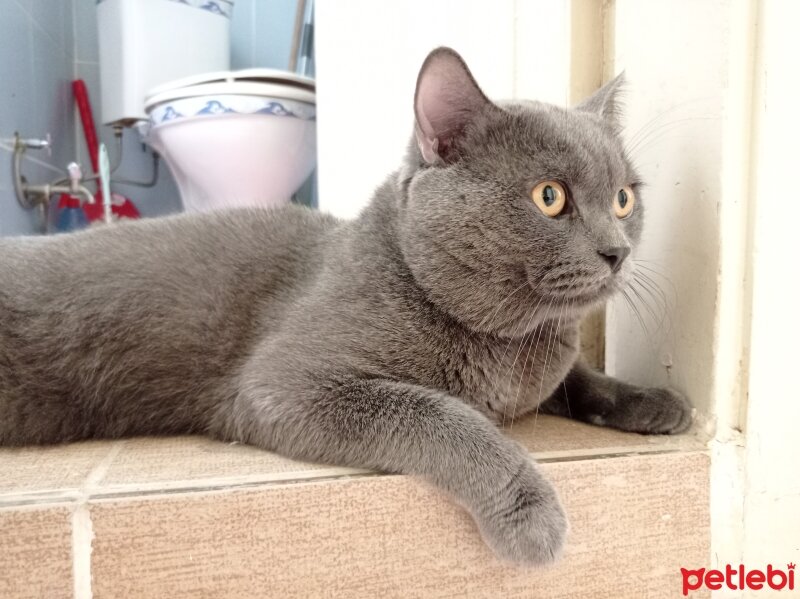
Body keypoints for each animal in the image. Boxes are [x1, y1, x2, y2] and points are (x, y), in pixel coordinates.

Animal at [0, 48, 692, 568]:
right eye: (550, 196)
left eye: (625, 198)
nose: (618, 251)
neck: (509, 343)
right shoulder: (282, 386)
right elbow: (445, 416)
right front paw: (532, 515)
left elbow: (579, 378)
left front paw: (656, 402)